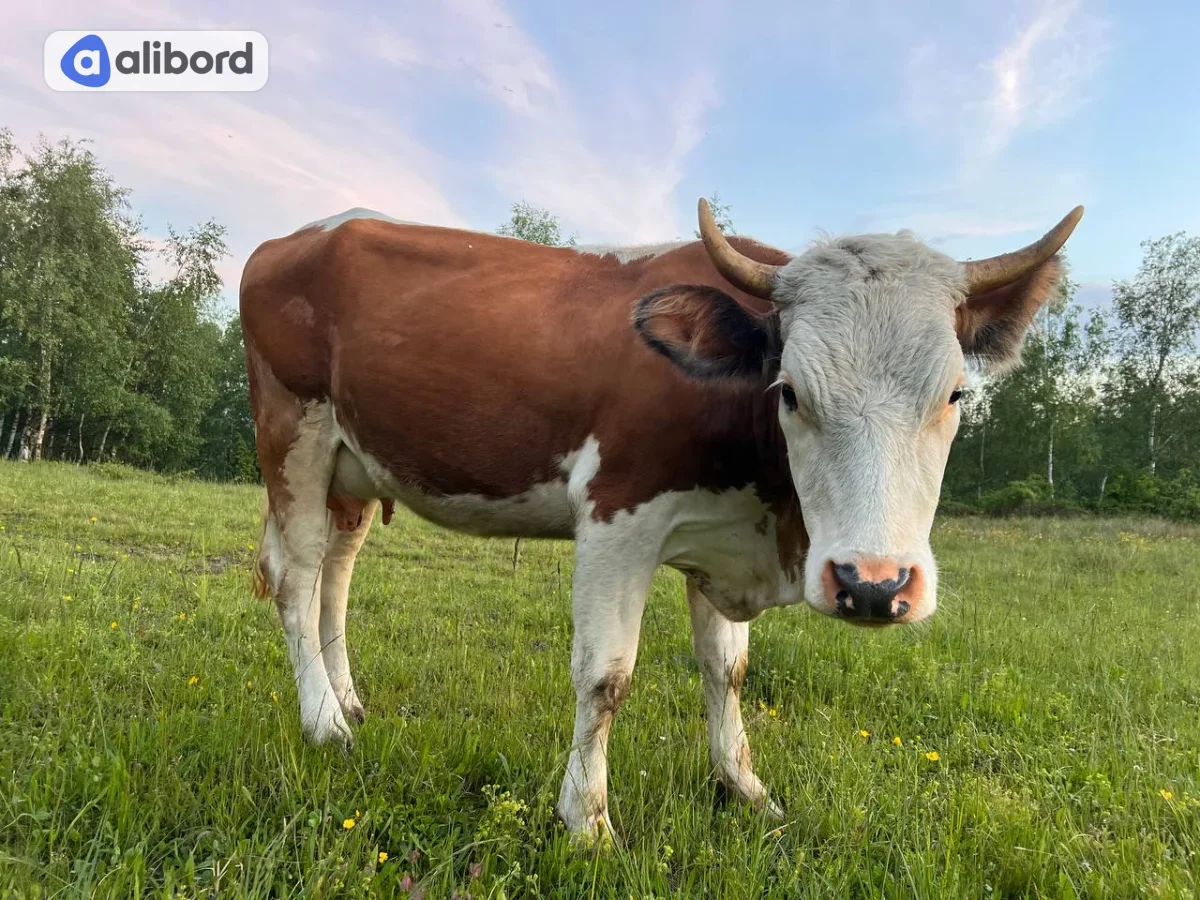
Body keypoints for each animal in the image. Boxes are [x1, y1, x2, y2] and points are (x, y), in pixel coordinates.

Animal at [239, 199, 1082, 843]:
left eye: (954, 394)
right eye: (791, 392)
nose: (873, 586)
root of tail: (301, 234)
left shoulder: (725, 536)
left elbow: (727, 670)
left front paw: (744, 787)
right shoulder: (617, 519)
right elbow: (606, 675)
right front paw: (587, 823)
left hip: (352, 466)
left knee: (338, 573)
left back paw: (347, 699)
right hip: (294, 433)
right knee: (298, 575)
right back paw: (324, 723)